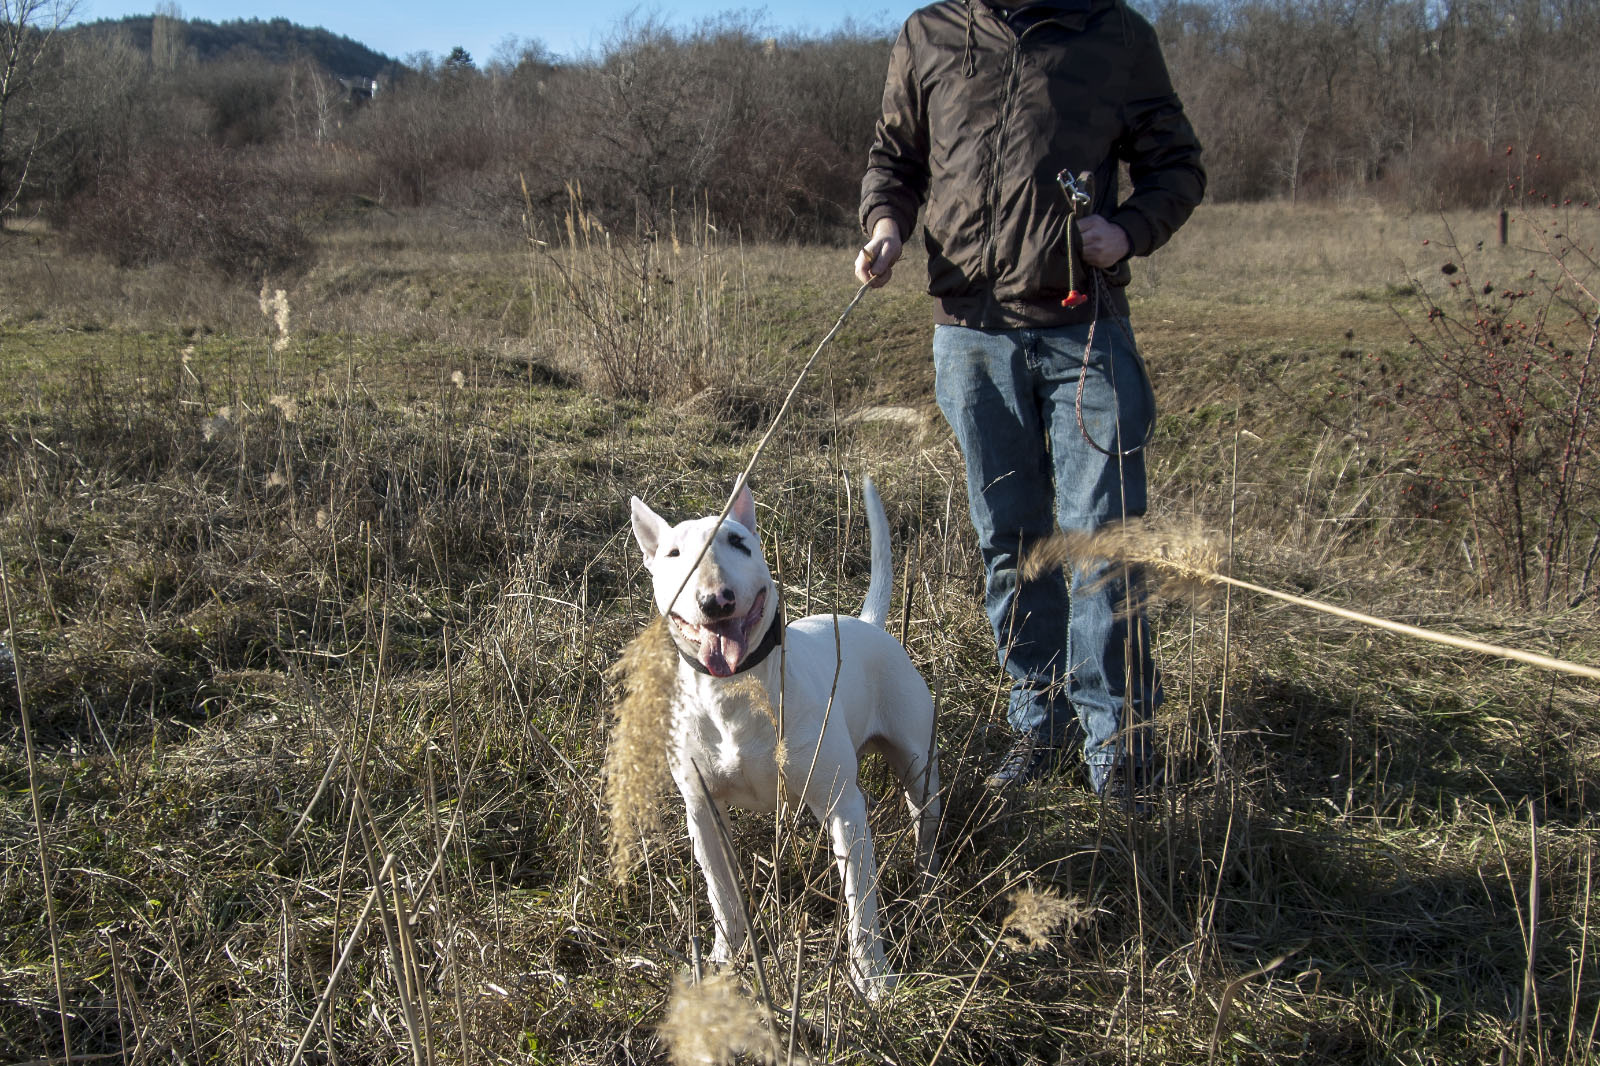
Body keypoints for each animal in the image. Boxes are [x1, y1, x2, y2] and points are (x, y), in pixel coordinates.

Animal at [627, 476, 934, 992]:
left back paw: (928, 881)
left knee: (925, 815)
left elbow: (861, 902)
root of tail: (865, 623)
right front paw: (723, 957)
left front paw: (873, 979)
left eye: (738, 542)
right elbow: (721, 892)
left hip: (916, 760)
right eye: (672, 553)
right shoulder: (702, 811)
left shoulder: (842, 804)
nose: (716, 601)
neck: (733, 689)